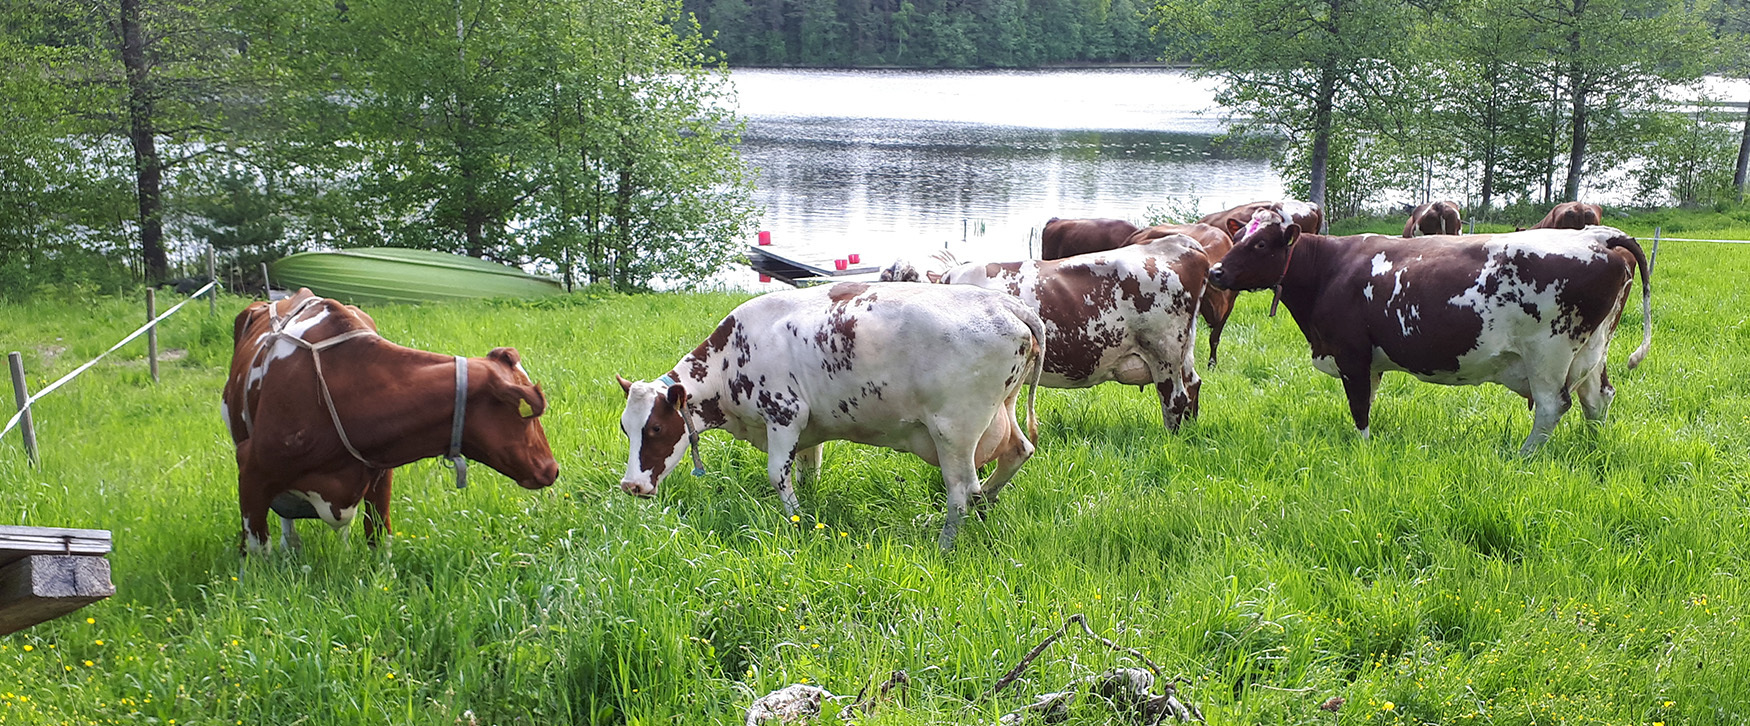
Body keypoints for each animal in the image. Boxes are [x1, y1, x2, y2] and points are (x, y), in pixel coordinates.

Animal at [222, 290, 556, 556]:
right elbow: (257, 550)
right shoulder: (251, 468)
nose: (552, 468)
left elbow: (379, 537)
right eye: (528, 415)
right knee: (286, 520)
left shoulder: (379, 474)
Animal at [623, 281, 1043, 549]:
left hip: (954, 432)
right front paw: (809, 509)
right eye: (626, 429)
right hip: (1001, 411)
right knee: (1017, 453)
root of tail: (1005, 304)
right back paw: (984, 506)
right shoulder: (809, 430)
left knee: (961, 494)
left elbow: (777, 476)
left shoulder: (784, 415)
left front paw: (796, 522)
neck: (730, 357)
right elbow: (808, 472)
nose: (631, 486)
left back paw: (944, 544)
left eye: (656, 427)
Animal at [1204, 211, 1652, 454]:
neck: (1329, 269)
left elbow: (1359, 408)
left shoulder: (1352, 354)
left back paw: (1522, 457)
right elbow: (1369, 401)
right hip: (1592, 350)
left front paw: (1364, 450)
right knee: (1597, 398)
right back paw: (1593, 447)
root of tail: (1597, 236)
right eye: (1238, 236)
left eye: (1261, 245)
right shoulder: (1369, 362)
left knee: (1552, 406)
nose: (1216, 272)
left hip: (1548, 354)